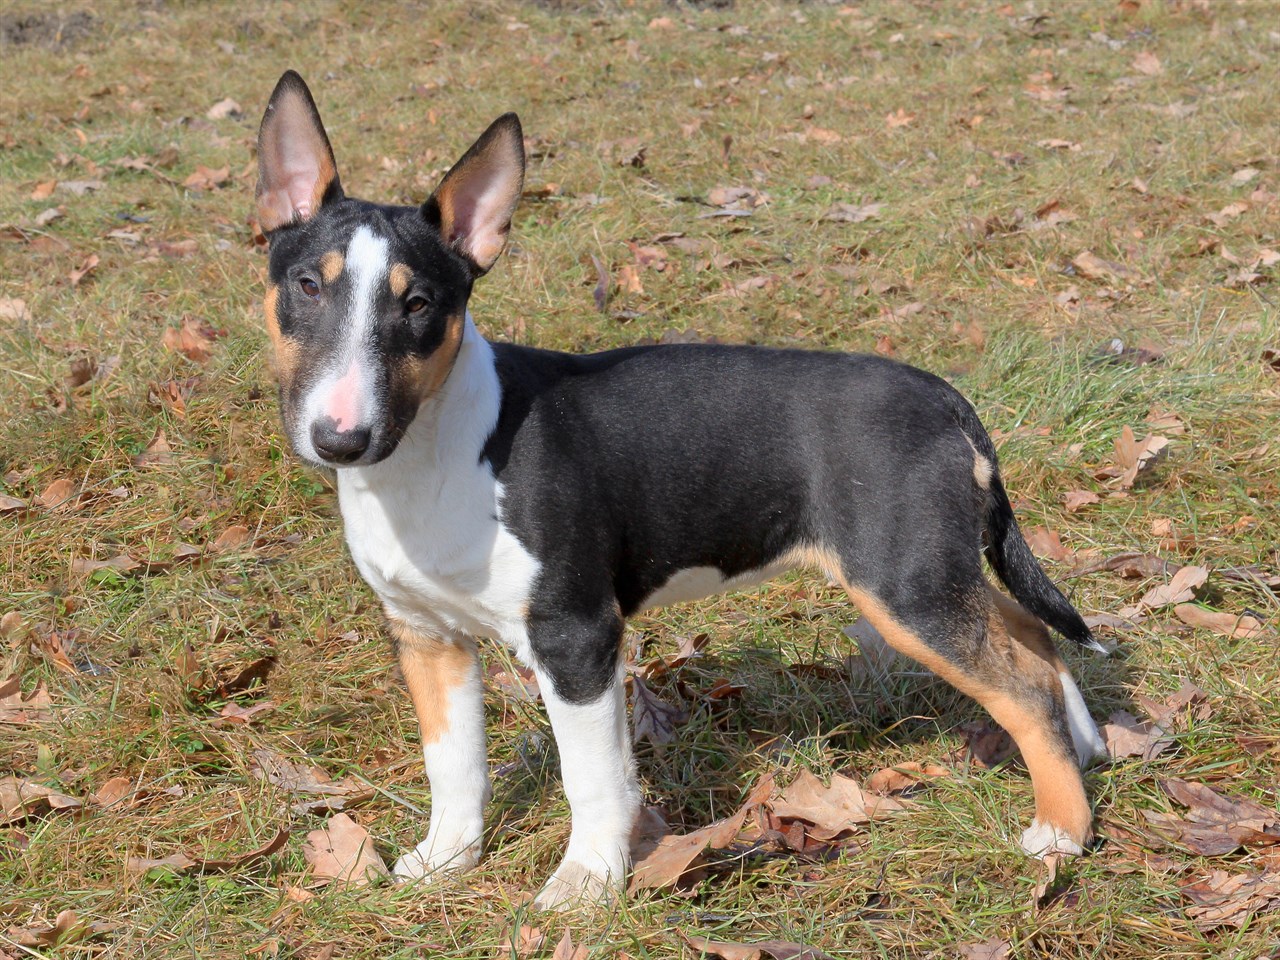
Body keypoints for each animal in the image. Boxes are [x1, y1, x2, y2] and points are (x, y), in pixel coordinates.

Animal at [254, 69, 1105, 911]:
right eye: (306, 285)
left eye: (420, 305)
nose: (340, 439)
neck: (432, 455)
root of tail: (944, 399)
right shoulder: (426, 636)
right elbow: (453, 762)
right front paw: (445, 861)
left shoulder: (575, 637)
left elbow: (593, 777)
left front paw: (585, 885)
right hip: (935, 570)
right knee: (1027, 634)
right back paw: (1089, 746)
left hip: (906, 588)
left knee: (1022, 686)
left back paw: (1061, 831)